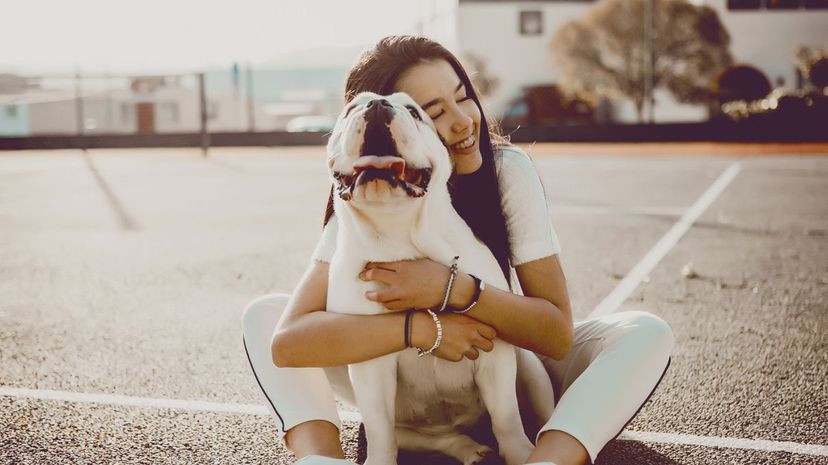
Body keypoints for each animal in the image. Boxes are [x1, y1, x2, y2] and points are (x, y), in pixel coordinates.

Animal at [324, 91, 536, 464]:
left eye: (414, 112)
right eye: (350, 110)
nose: (377, 105)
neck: (395, 232)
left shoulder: (495, 356)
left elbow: (507, 418)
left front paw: (522, 454)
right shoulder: (370, 366)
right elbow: (380, 431)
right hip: (415, 432)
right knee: (437, 439)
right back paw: (469, 449)